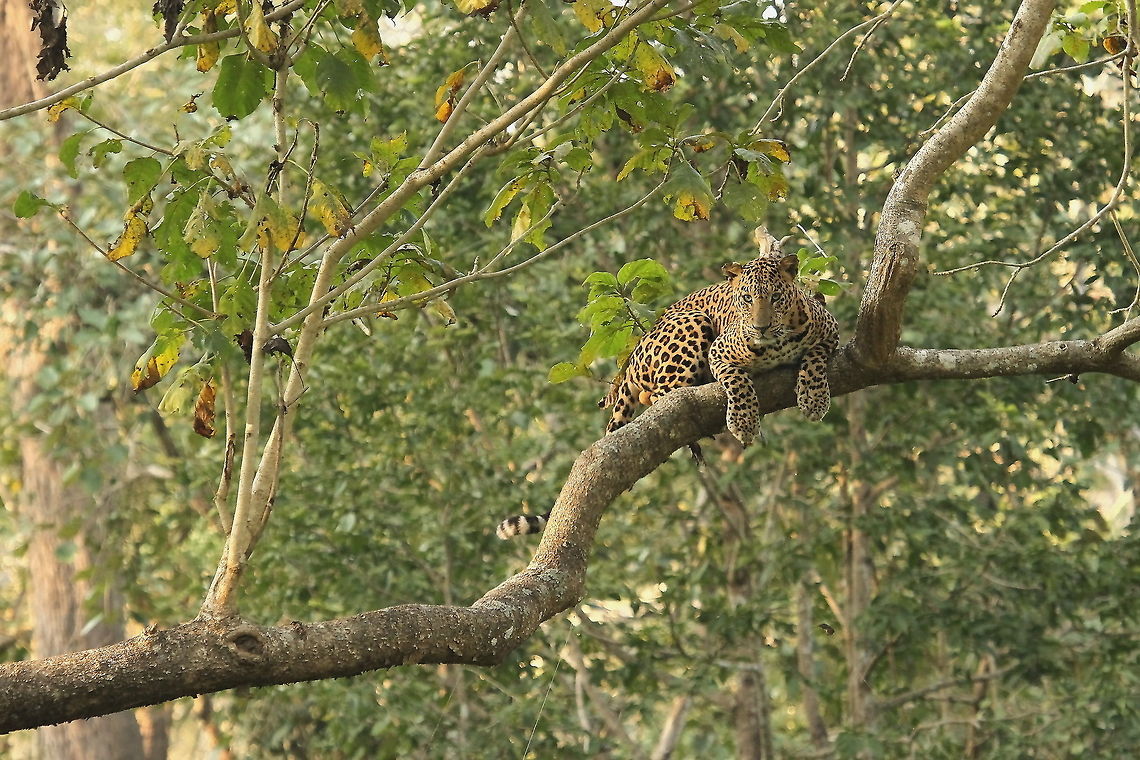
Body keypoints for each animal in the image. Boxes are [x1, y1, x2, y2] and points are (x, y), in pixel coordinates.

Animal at [495, 248, 839, 540]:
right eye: (746, 298)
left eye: (776, 297)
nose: (760, 327)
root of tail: (633, 356)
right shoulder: (720, 352)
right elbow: (738, 380)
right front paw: (743, 422)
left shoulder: (829, 330)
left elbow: (815, 358)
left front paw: (813, 398)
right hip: (692, 324)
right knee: (660, 394)